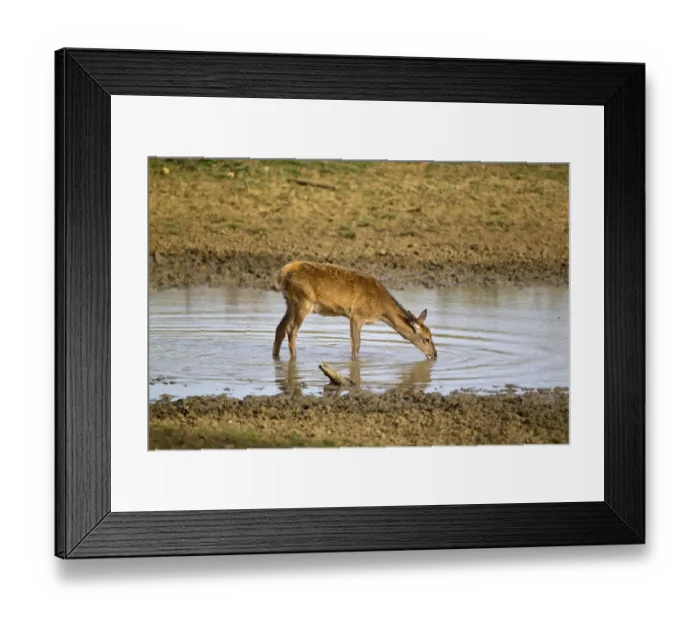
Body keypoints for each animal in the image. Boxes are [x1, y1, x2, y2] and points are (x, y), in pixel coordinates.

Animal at [272, 260, 437, 361]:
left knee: (280, 328)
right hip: (304, 302)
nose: (434, 354)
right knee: (292, 330)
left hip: (289, 302)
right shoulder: (357, 315)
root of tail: (282, 274)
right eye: (426, 339)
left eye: (431, 335)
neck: (381, 308)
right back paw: (294, 359)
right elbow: (356, 344)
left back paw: (276, 357)